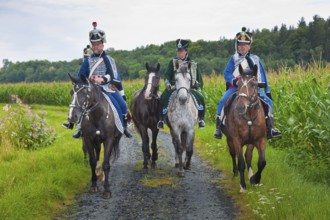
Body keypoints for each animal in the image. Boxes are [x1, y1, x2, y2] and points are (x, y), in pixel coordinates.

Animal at [222, 64, 266, 192]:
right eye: (238, 84)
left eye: (253, 84)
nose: (241, 107)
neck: (250, 116)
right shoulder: (237, 140)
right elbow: (241, 162)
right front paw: (243, 186)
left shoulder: (260, 140)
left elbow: (261, 162)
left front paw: (255, 179)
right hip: (230, 140)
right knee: (233, 155)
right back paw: (235, 173)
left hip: (250, 142)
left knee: (248, 156)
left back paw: (250, 175)